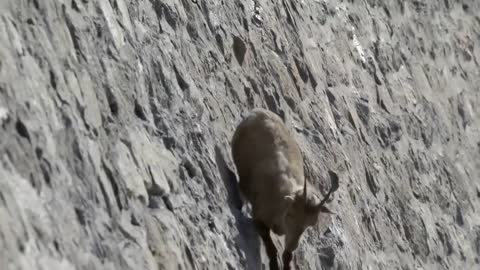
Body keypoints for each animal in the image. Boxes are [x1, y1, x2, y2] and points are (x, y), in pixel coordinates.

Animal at [232, 108, 338, 270]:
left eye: (311, 224)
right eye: (291, 214)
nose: (294, 244)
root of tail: (259, 111)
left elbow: (287, 255)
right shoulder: (259, 217)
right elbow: (270, 246)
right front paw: (274, 265)